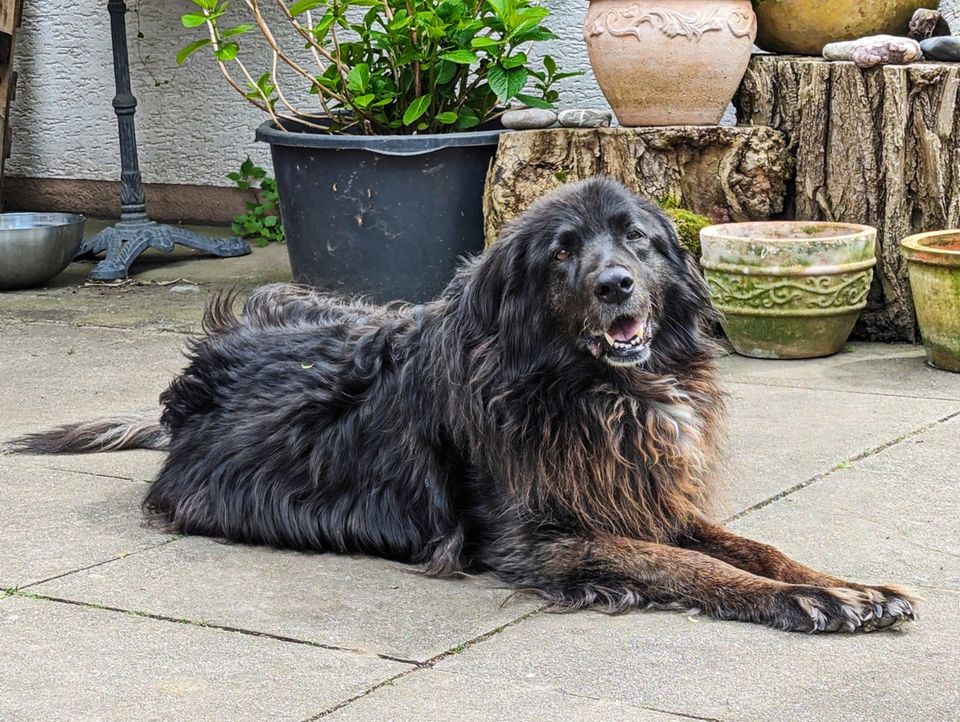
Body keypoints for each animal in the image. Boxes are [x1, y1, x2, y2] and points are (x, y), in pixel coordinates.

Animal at [13, 180, 916, 632]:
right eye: (561, 253)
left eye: (638, 240)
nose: (615, 286)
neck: (589, 389)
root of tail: (191, 384)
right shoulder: (535, 535)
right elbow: (689, 565)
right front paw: (809, 603)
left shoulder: (643, 494)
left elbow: (752, 546)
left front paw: (844, 585)